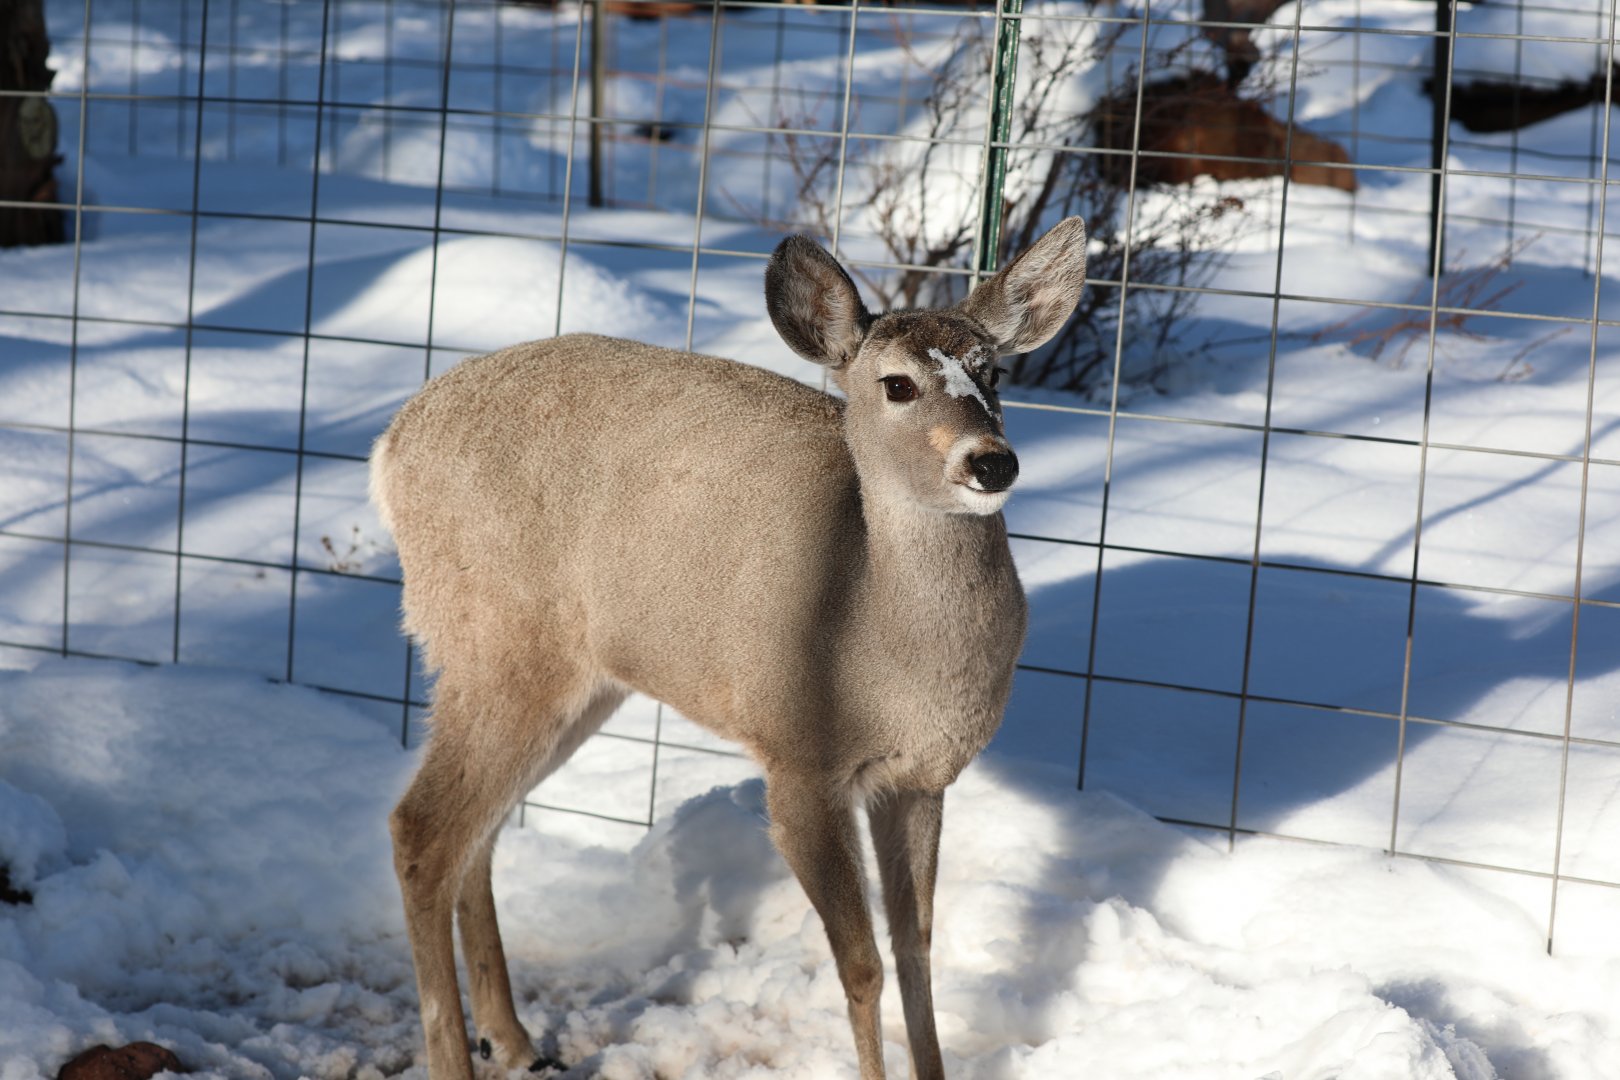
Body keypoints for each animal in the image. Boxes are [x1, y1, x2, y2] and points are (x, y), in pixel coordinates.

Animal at [369, 216, 1089, 1080]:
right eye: (897, 385)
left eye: (994, 373)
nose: (991, 460)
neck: (883, 641)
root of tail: (390, 446)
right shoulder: (800, 758)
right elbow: (861, 964)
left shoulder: (922, 776)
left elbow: (916, 950)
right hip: (496, 641)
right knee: (422, 829)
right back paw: (461, 1051)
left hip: (574, 678)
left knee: (478, 831)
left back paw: (513, 1038)